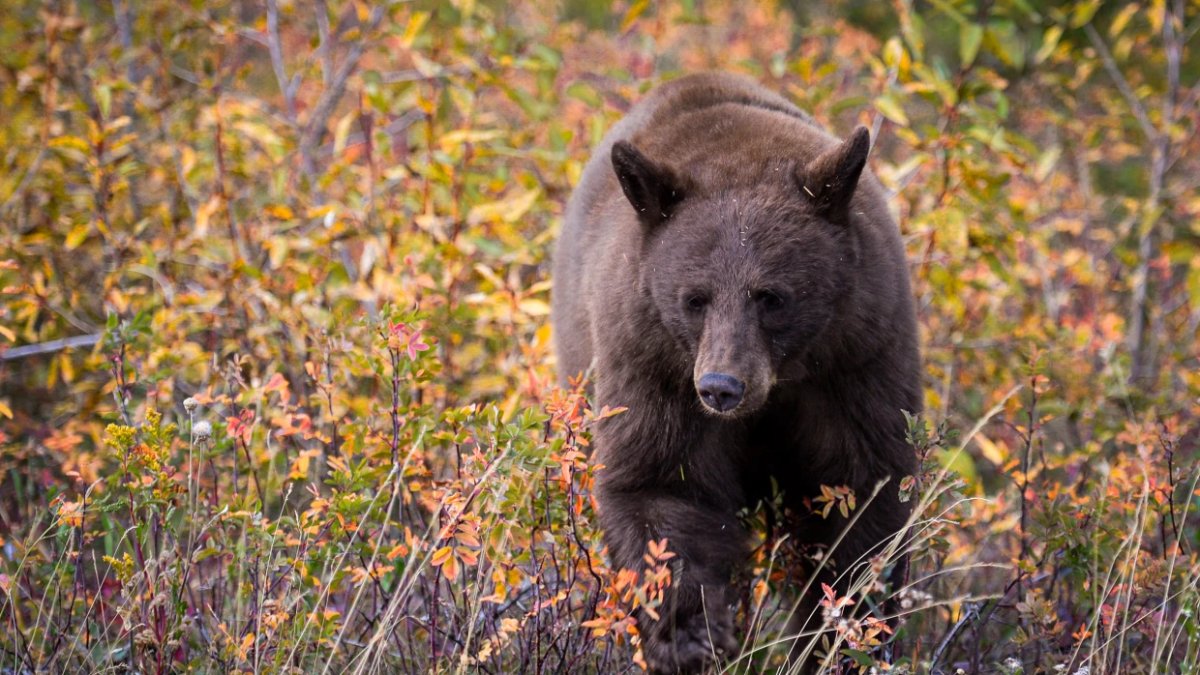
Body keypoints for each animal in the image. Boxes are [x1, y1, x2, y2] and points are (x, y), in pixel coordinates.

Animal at [549, 70, 916, 667]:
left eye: (771, 297)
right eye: (694, 298)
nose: (721, 387)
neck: (777, 386)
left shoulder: (859, 356)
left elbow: (863, 492)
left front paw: (846, 634)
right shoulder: (653, 362)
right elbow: (663, 488)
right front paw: (691, 637)